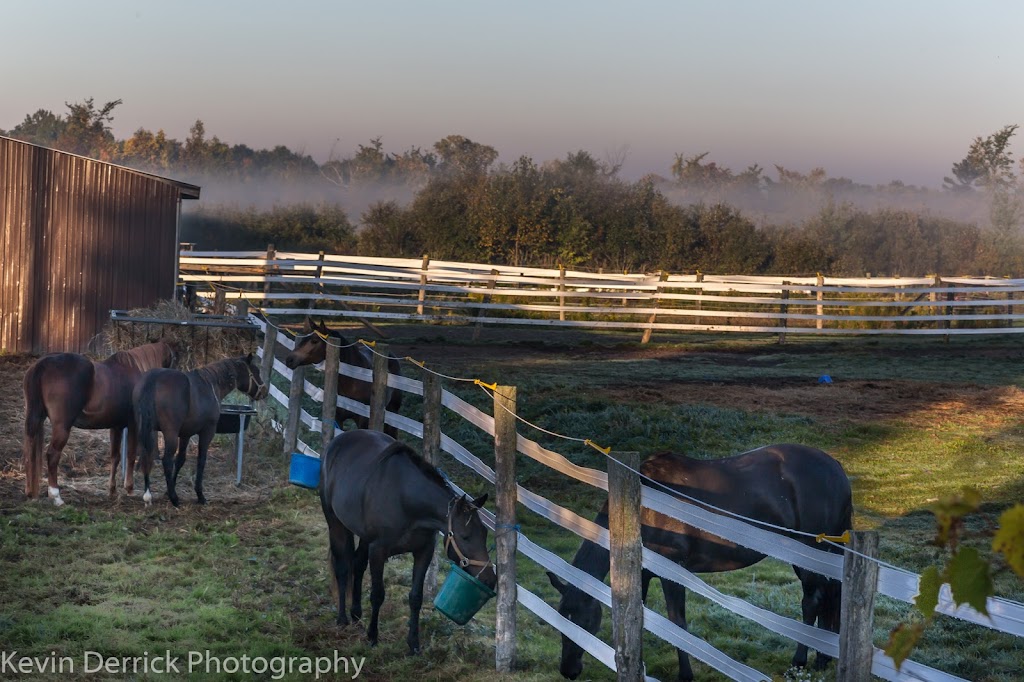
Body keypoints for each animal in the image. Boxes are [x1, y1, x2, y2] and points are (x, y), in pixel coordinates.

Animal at [20, 339, 178, 503]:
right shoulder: (133, 425)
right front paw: (129, 488)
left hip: (35, 420)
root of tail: (42, 364)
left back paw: (30, 492)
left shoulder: (116, 426)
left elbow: (115, 456)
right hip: (61, 427)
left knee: (30, 451)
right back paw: (56, 496)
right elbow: (131, 455)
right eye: (175, 359)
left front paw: (112, 490)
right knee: (52, 455)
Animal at [133, 350, 268, 503]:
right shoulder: (207, 431)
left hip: (146, 430)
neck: (210, 384)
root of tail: (153, 379)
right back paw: (174, 499)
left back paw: (148, 493)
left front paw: (168, 490)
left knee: (146, 456)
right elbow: (201, 460)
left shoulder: (185, 434)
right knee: (166, 461)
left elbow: (180, 460)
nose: (264, 391)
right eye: (256, 371)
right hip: (170, 433)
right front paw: (199, 494)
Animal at [319, 430, 495, 655]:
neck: (405, 500)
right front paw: (373, 637)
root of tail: (337, 441)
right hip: (335, 522)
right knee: (342, 568)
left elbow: (415, 597)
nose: (490, 579)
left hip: (364, 536)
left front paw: (414, 644)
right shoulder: (379, 551)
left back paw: (356, 615)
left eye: (484, 534)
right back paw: (342, 619)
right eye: (465, 536)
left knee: (357, 564)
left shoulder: (424, 551)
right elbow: (378, 594)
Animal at [548, 444, 851, 675]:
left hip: (808, 554)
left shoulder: (673, 572)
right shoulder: (641, 575)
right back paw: (822, 659)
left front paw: (686, 675)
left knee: (811, 602)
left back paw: (798, 664)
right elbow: (637, 617)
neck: (641, 506)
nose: (568, 671)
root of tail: (835, 467)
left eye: (584, 621)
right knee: (827, 596)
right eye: (562, 617)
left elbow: (677, 623)